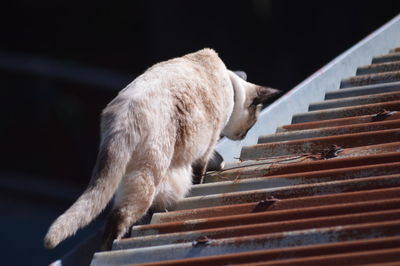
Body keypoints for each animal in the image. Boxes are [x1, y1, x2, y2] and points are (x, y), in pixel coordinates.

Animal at [43, 47, 280, 249]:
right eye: (253, 121)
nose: (244, 135)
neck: (230, 84)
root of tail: (123, 115)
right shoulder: (206, 145)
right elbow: (202, 170)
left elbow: (215, 160)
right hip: (149, 174)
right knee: (120, 216)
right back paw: (110, 247)